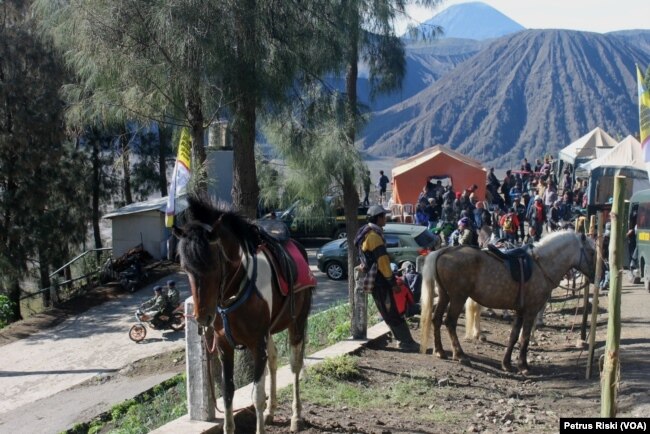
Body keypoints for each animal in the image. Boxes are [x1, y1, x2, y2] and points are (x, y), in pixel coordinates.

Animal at [172, 198, 314, 434]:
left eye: (214, 264)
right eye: (185, 268)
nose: (202, 317)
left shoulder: (257, 343)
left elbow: (257, 395)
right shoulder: (224, 346)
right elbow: (228, 392)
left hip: (297, 323)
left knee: (295, 365)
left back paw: (296, 417)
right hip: (270, 332)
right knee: (274, 360)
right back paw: (272, 412)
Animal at [418, 231, 596, 372]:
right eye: (592, 252)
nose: (597, 276)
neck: (542, 265)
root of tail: (444, 251)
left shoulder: (520, 311)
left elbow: (514, 336)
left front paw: (507, 364)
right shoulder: (531, 311)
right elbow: (524, 338)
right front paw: (523, 366)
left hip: (445, 295)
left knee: (436, 319)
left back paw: (440, 351)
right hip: (458, 297)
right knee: (449, 322)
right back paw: (460, 355)